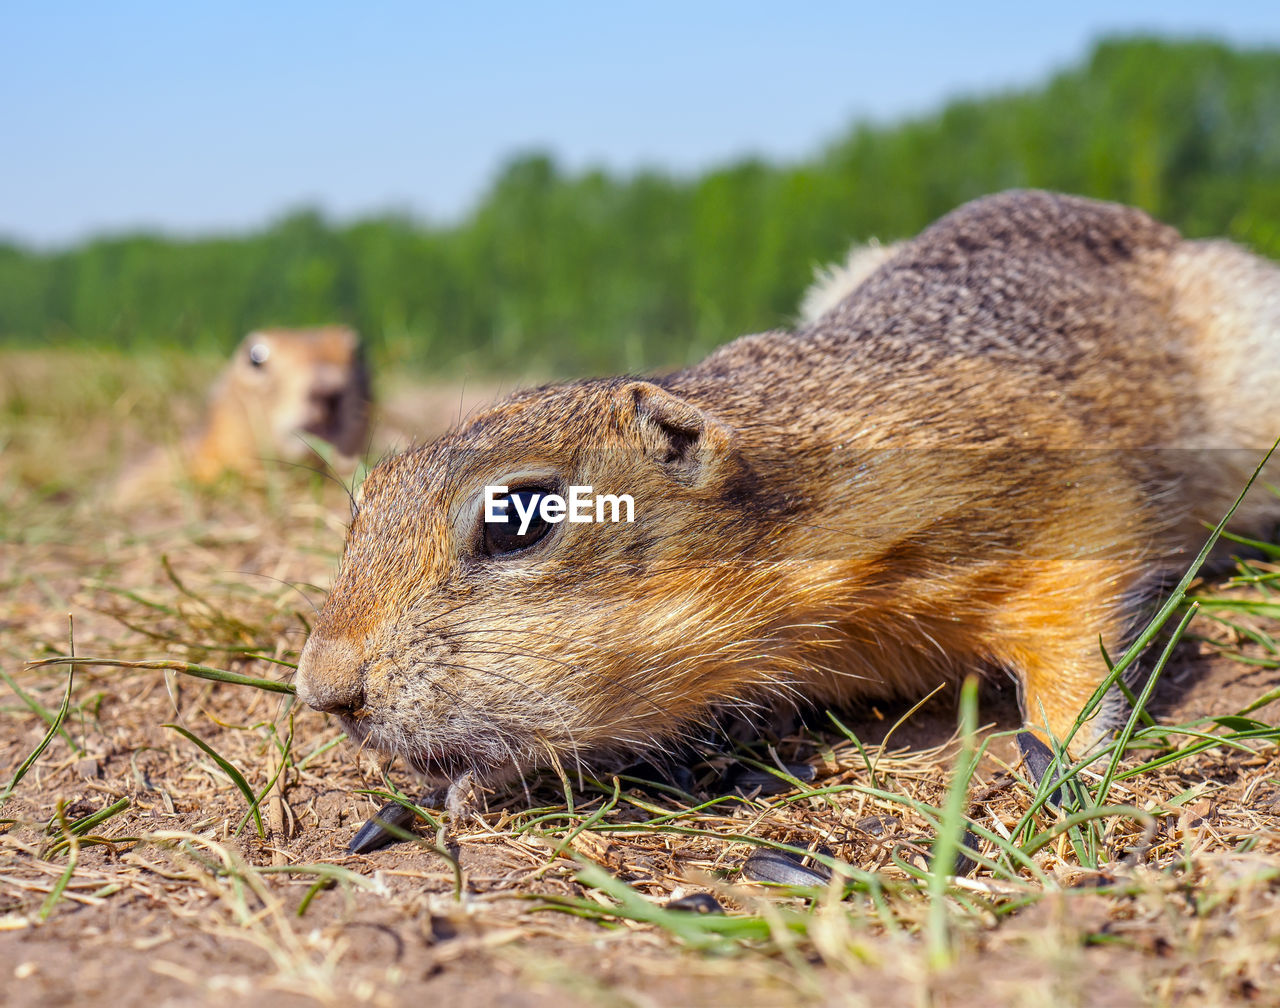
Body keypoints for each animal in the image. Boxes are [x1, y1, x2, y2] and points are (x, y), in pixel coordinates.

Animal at [293, 189, 1280, 787]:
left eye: (518, 518)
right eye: (364, 500)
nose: (322, 691)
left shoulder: (1055, 495)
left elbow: (1077, 625)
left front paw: (1063, 754)